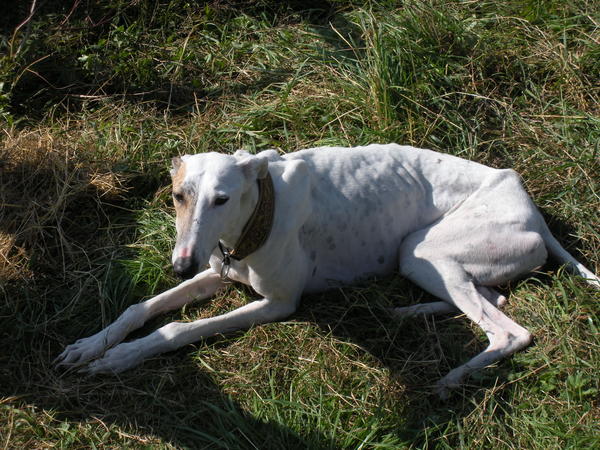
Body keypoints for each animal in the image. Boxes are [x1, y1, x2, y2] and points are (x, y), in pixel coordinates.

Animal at [56, 144, 600, 398]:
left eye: (222, 199)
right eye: (177, 196)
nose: (178, 264)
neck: (262, 208)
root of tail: (529, 203)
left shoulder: (277, 304)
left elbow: (176, 328)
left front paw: (120, 358)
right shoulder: (218, 271)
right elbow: (140, 307)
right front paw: (90, 345)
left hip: (422, 249)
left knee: (511, 332)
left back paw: (452, 378)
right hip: (431, 261)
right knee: (495, 298)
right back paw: (410, 312)